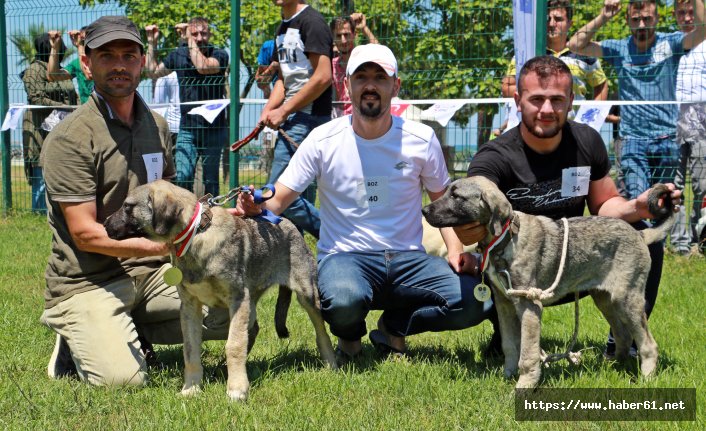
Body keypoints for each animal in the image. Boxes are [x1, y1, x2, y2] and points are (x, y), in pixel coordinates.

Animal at [103, 180, 336, 402]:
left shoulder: (238, 299)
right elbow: (191, 350)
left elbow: (234, 345)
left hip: (305, 294)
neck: (196, 234)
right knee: (252, 330)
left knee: (321, 331)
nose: (104, 225)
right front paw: (191, 389)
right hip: (249, 302)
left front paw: (237, 389)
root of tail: (288, 223)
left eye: (127, 206)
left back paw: (331, 363)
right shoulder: (190, 306)